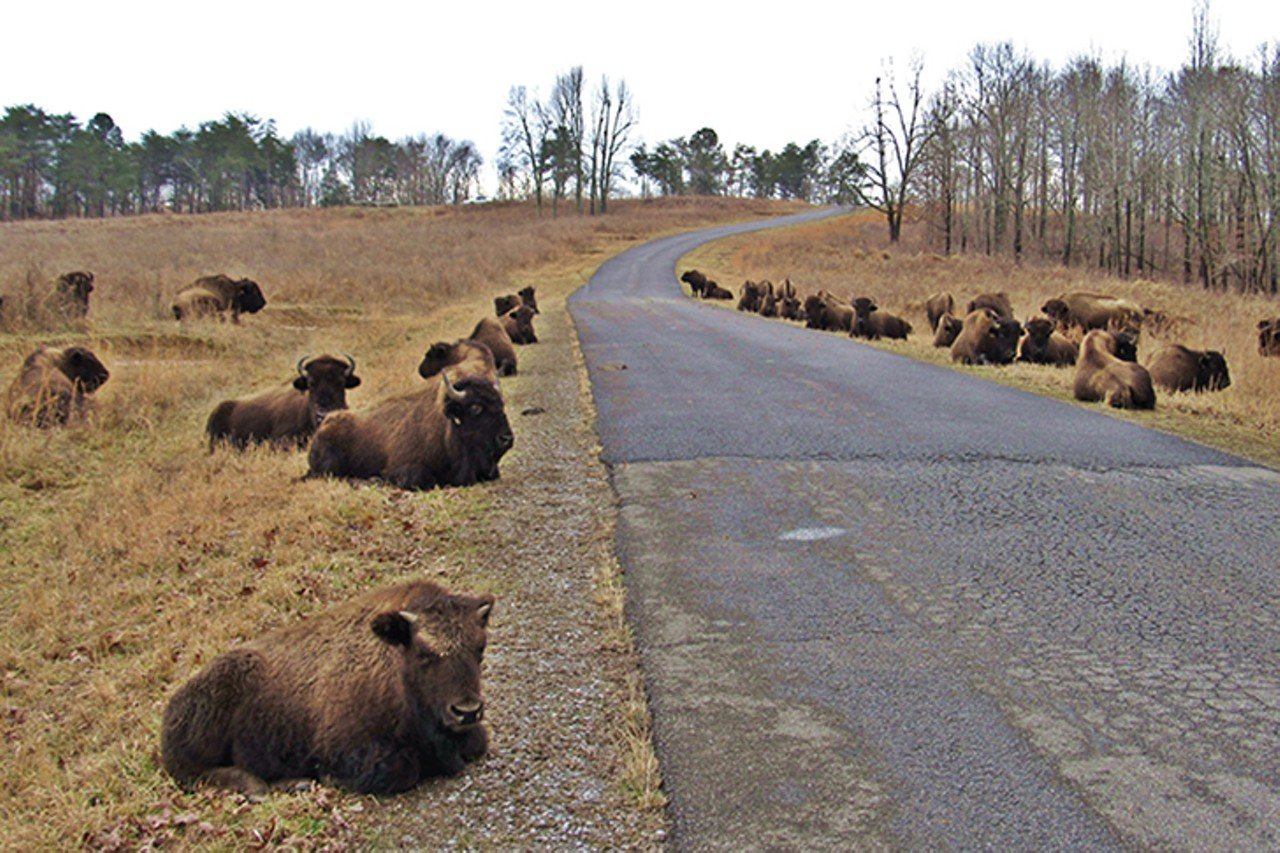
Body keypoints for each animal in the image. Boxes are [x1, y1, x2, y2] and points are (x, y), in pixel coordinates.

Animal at [162, 573, 491, 794]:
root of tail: (172, 707)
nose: (467, 711)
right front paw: (330, 777)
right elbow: (402, 769)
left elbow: (478, 742)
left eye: (480, 648)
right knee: (194, 773)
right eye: (423, 653)